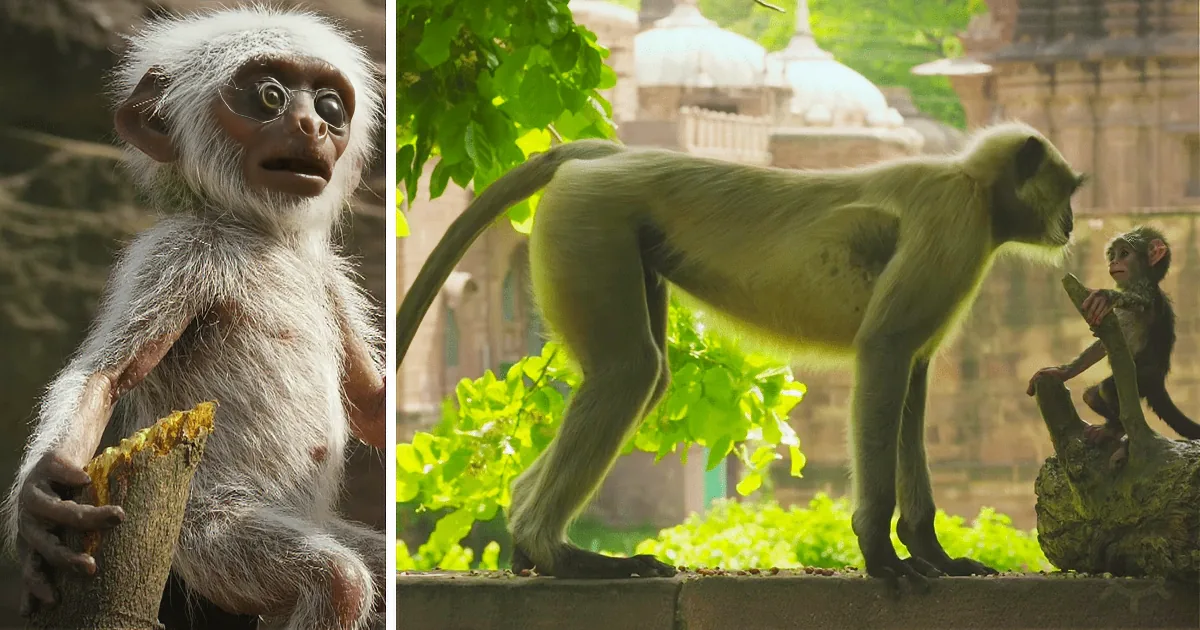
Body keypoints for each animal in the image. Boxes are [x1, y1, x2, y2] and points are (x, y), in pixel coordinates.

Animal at [3, 8, 386, 629]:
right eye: (269, 96)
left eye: (331, 107)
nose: (312, 125)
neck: (263, 236)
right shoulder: (176, 255)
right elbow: (103, 374)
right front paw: (42, 493)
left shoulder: (331, 278)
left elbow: (371, 403)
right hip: (205, 539)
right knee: (338, 580)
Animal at [395, 121, 1083, 593]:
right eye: (1066, 192)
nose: (1074, 224)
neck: (974, 188)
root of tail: (608, 157)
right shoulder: (953, 224)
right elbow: (885, 349)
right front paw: (882, 556)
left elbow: (913, 374)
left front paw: (931, 552)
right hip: (590, 223)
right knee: (630, 373)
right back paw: (560, 554)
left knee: (644, 377)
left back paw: (532, 547)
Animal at [1027, 226, 1200, 465]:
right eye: (1113, 255)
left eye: (1124, 253)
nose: (1114, 262)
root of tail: (1159, 381)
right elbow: (1100, 344)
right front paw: (1063, 372)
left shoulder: (1145, 293)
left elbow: (1135, 300)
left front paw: (1107, 296)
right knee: (1091, 394)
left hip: (1143, 379)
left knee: (1106, 389)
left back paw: (1117, 429)